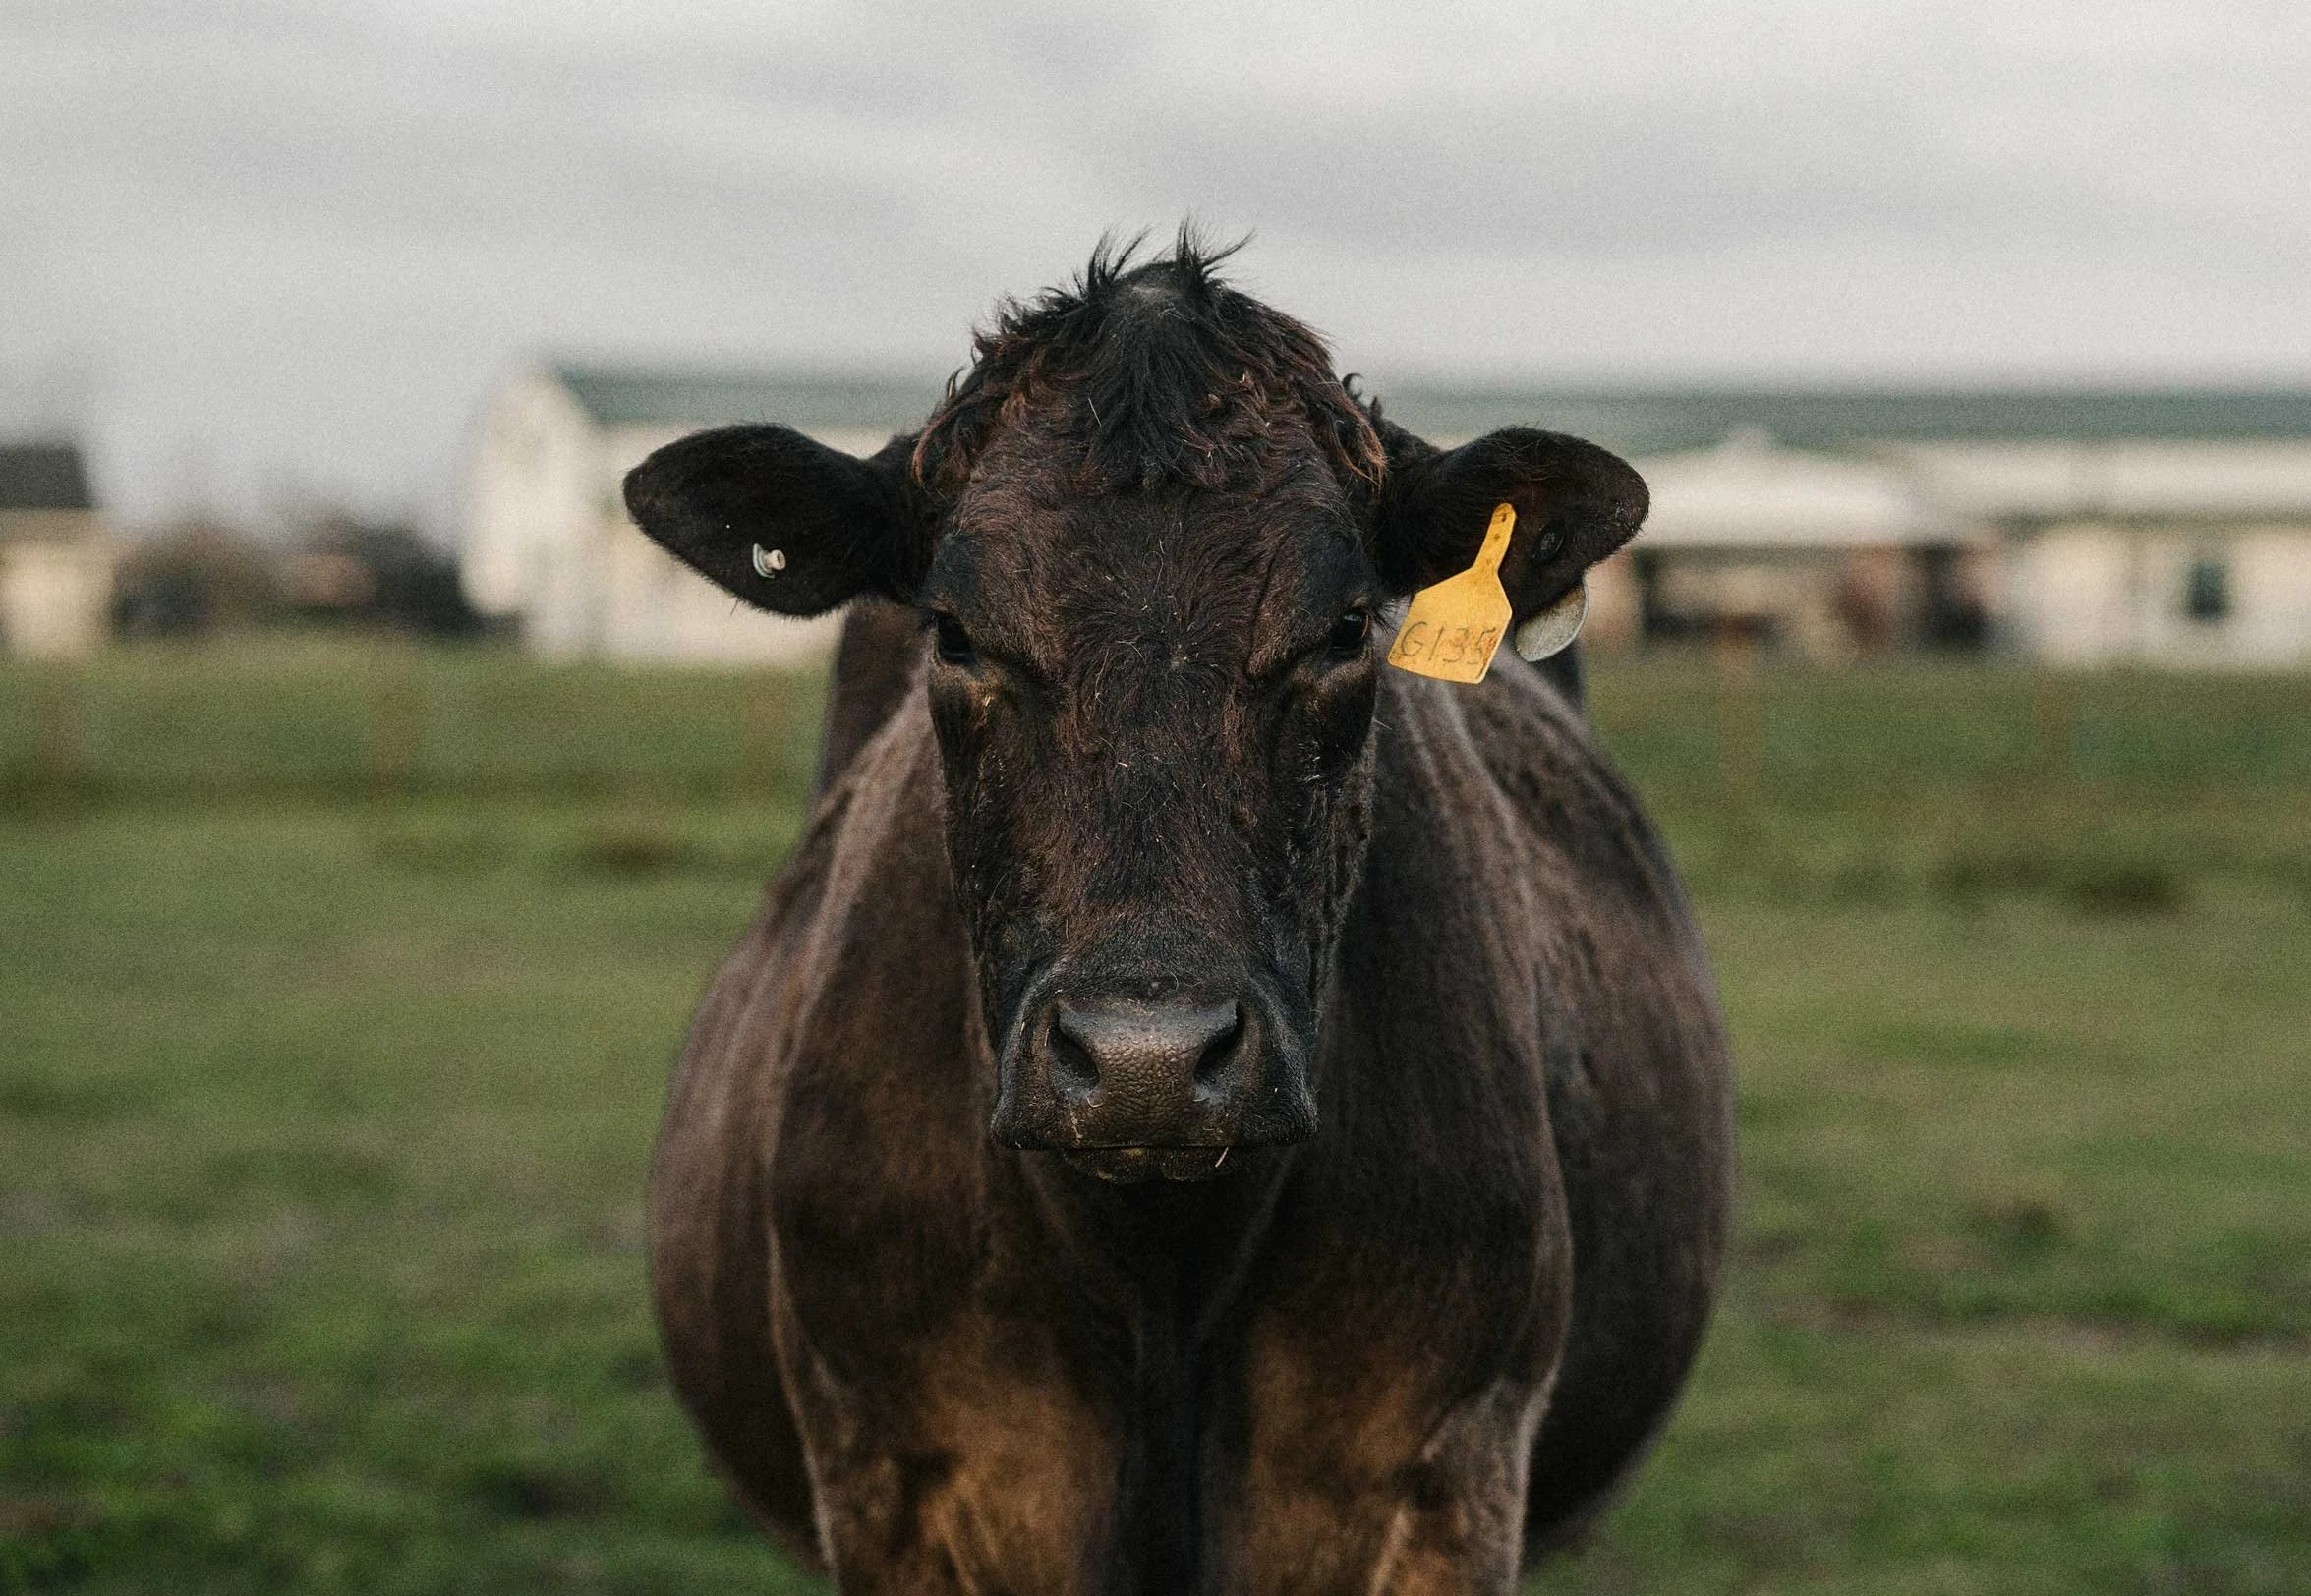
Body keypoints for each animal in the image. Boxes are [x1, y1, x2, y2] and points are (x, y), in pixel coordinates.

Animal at [625, 235, 1733, 1595]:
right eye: (952, 630)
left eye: (1346, 628)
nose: (1144, 1061)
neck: (1160, 1267)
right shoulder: (894, 1477)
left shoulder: (1445, 1470)